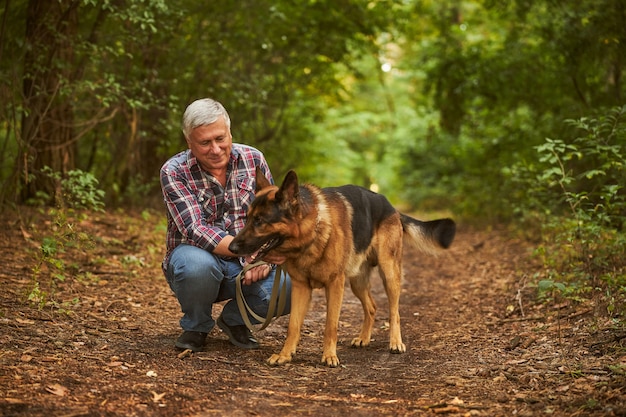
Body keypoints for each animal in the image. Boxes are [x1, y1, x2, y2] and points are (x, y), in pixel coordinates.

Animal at [229, 167, 454, 366]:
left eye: (260, 221)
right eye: (247, 218)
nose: (231, 247)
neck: (313, 232)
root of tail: (391, 207)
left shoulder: (335, 285)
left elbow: (331, 325)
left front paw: (329, 356)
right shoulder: (301, 288)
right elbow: (293, 325)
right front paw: (285, 355)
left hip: (389, 273)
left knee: (394, 312)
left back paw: (396, 342)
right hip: (357, 281)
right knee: (371, 307)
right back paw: (364, 338)